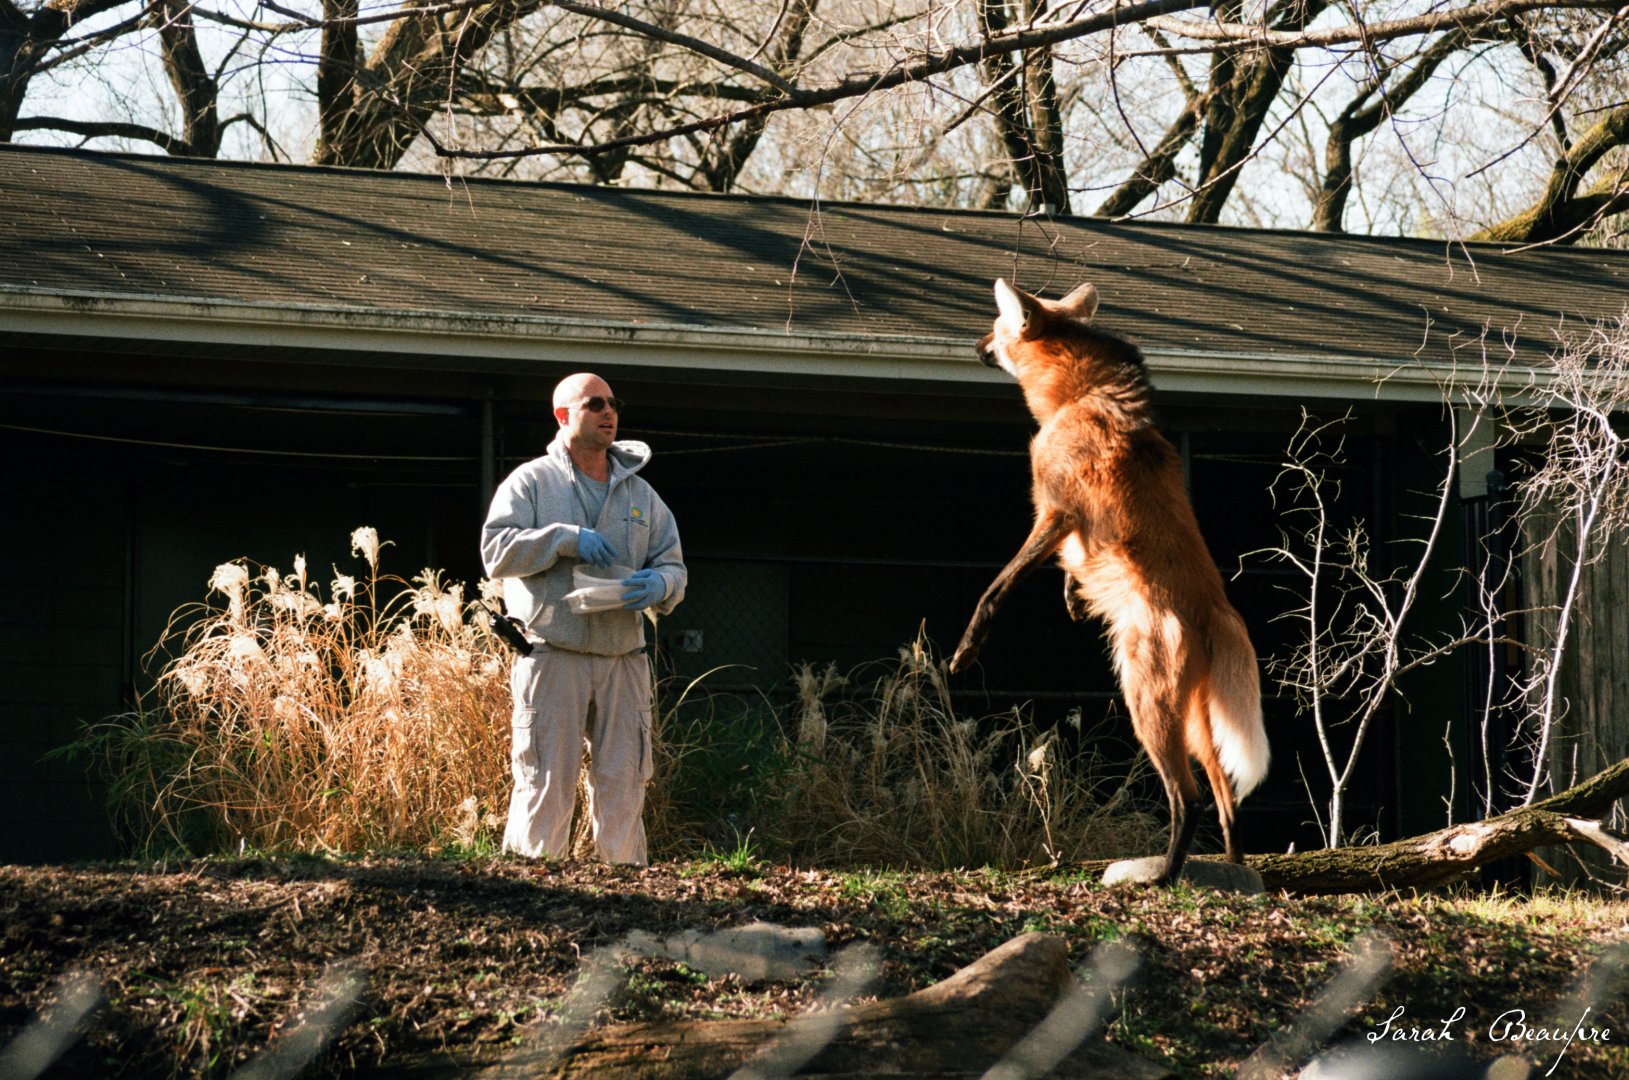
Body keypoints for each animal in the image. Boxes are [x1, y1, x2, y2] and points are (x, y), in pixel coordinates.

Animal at [948, 278, 1270, 885]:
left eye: (995, 327)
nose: (975, 345)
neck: (1077, 397)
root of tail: (1218, 610)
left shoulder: (1055, 511)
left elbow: (996, 589)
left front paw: (966, 650)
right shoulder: (1067, 527)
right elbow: (1067, 572)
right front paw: (1074, 603)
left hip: (1145, 703)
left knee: (1187, 797)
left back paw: (1164, 876)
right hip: (1196, 721)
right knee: (1226, 797)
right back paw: (1237, 871)